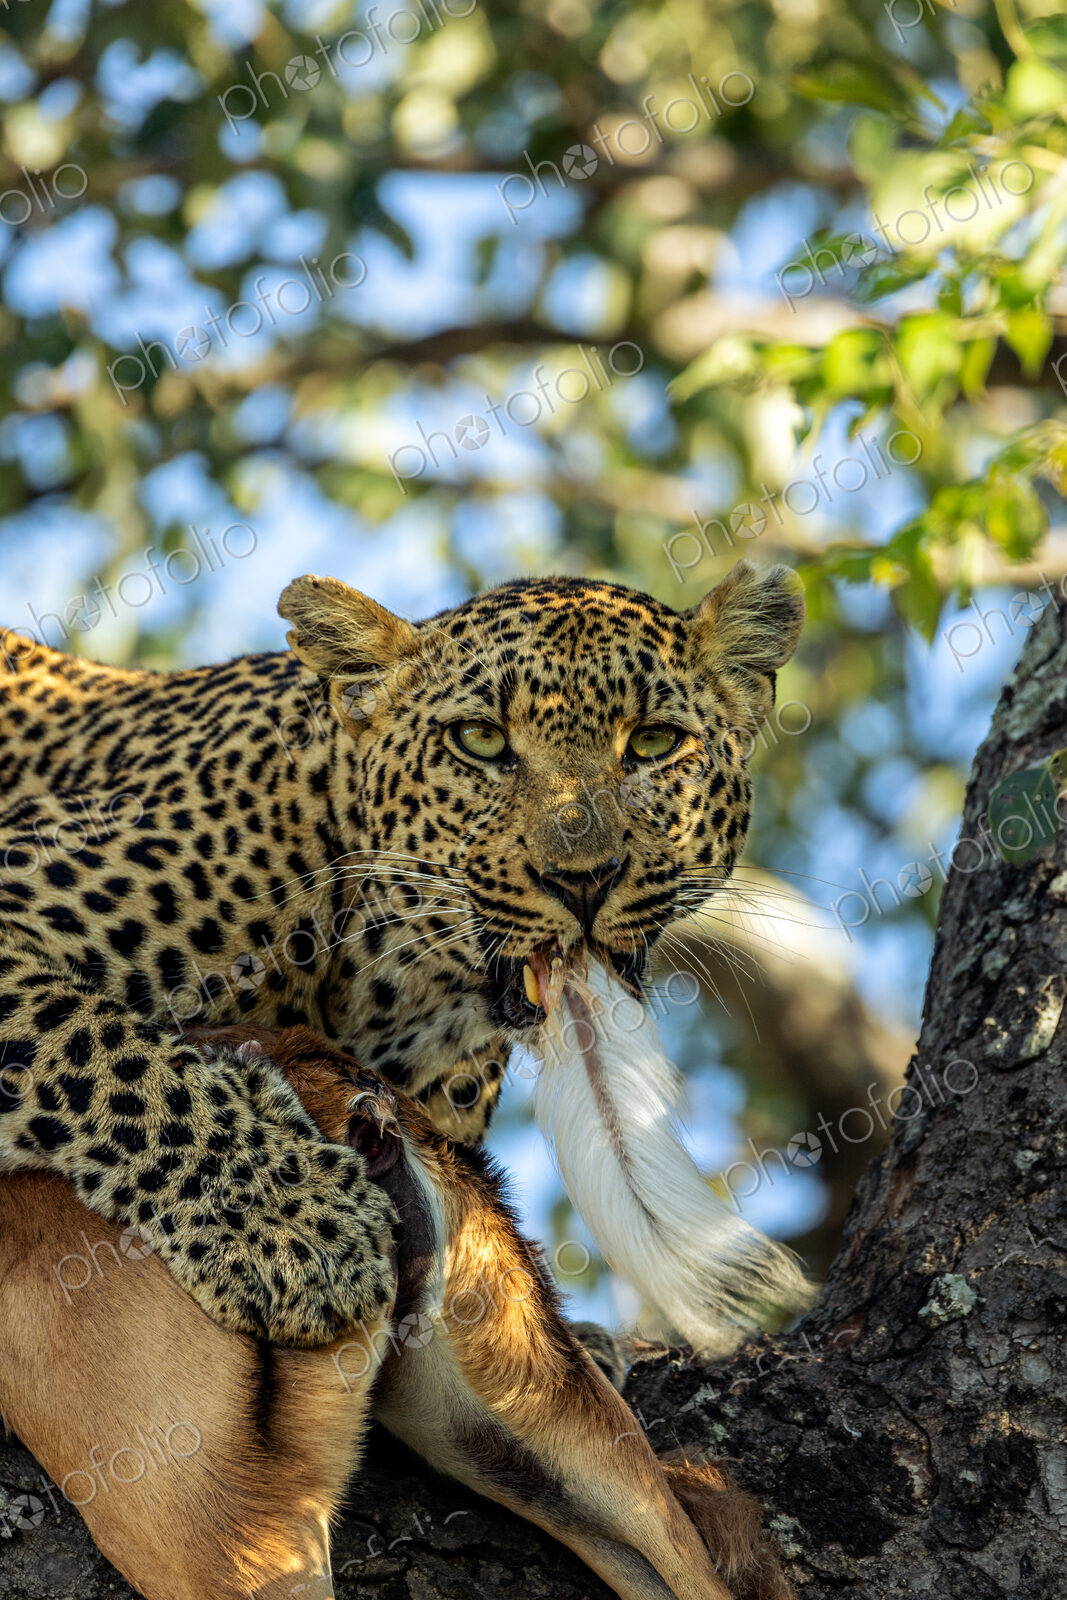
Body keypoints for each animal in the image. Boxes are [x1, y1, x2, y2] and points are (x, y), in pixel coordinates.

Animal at [0, 559, 804, 1349]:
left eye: (653, 744)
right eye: (480, 739)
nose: (582, 879)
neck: (394, 979)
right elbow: (110, 1056)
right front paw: (292, 1224)